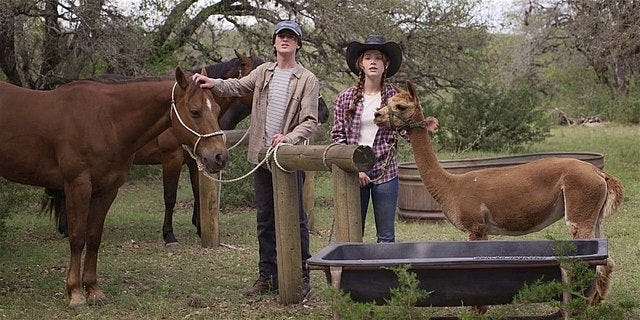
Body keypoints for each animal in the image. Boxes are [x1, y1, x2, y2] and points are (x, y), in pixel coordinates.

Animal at [0, 67, 229, 308]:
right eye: (195, 111)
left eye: (217, 109)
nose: (219, 157)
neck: (105, 120)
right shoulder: (78, 185)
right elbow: (77, 238)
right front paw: (75, 293)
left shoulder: (107, 190)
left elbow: (93, 238)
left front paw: (93, 290)